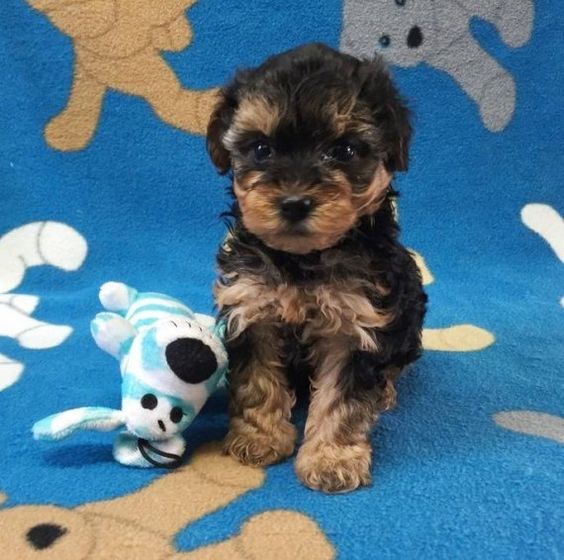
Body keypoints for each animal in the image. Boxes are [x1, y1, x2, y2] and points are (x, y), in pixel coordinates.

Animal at [208, 41, 428, 492]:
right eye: (262, 150)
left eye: (343, 151)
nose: (294, 202)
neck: (302, 259)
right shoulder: (252, 306)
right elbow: (257, 379)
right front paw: (258, 438)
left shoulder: (357, 322)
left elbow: (343, 398)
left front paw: (331, 458)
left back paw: (387, 390)